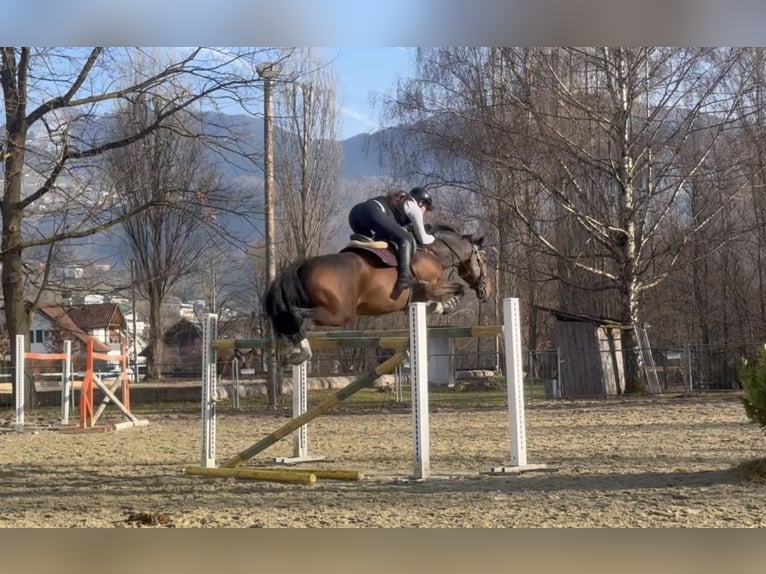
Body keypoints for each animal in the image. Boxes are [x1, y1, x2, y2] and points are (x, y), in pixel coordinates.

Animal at [263, 224, 491, 365]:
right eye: (483, 260)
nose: (487, 291)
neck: (432, 252)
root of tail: (303, 266)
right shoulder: (432, 286)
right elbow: (459, 289)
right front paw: (444, 307)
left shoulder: (418, 298)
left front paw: (435, 308)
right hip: (340, 313)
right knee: (301, 317)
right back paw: (300, 351)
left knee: (294, 320)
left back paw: (290, 351)